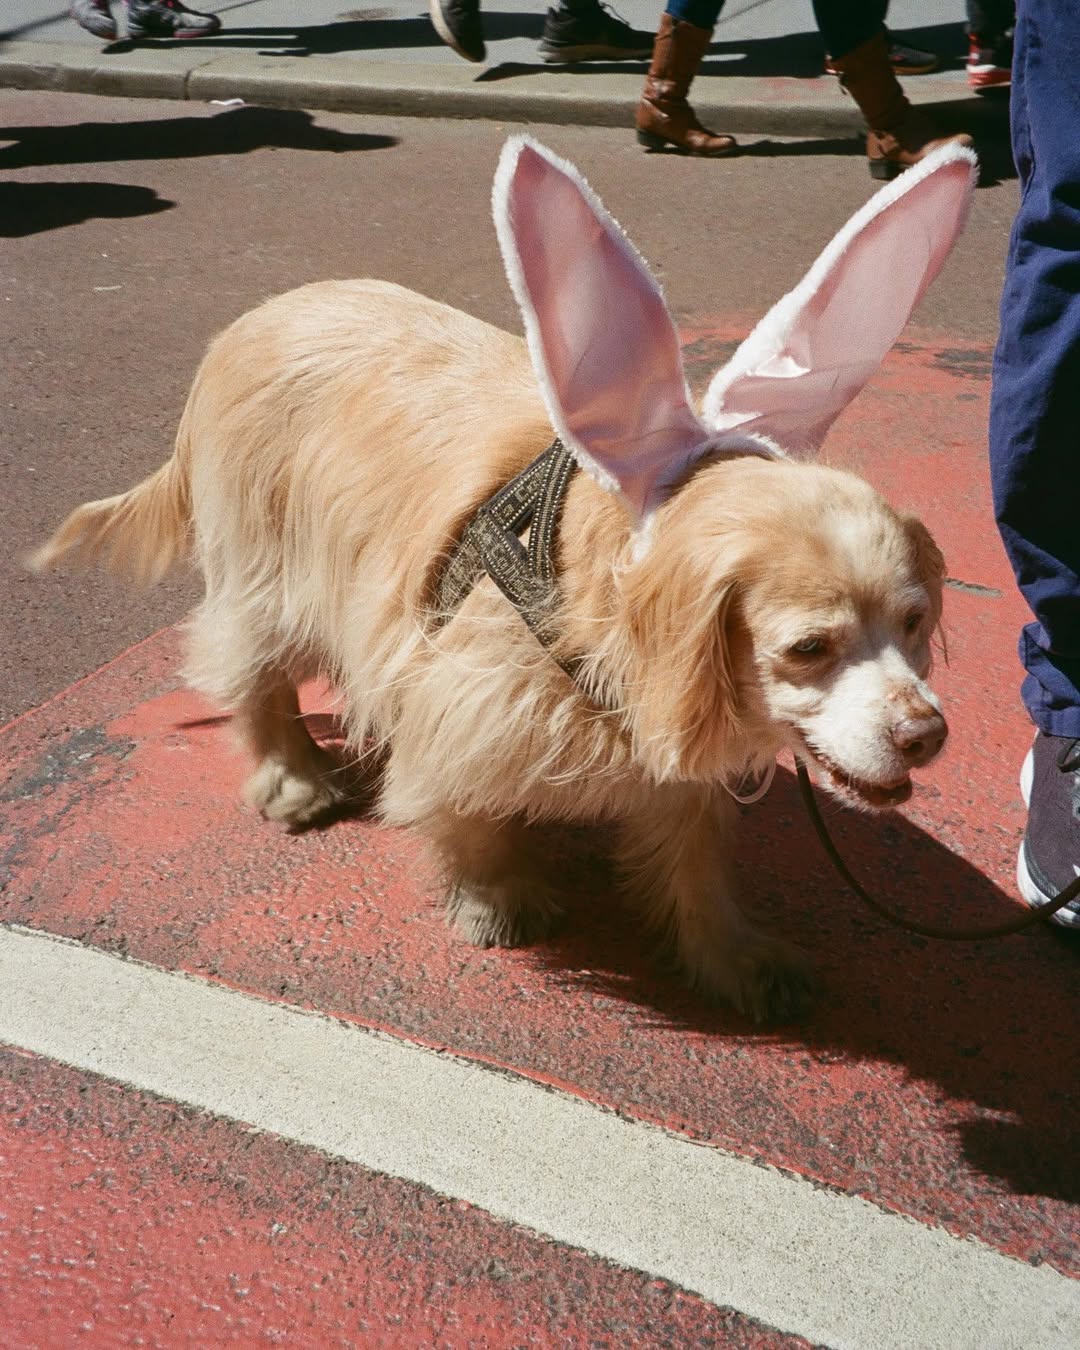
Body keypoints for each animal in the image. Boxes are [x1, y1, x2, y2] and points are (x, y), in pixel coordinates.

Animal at [33, 136, 977, 1022]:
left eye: (913, 622)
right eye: (809, 648)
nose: (926, 735)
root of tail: (248, 325)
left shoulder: (664, 740)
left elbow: (694, 858)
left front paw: (735, 958)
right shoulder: (451, 690)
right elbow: (465, 811)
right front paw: (497, 899)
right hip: (269, 568)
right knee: (253, 672)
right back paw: (294, 779)